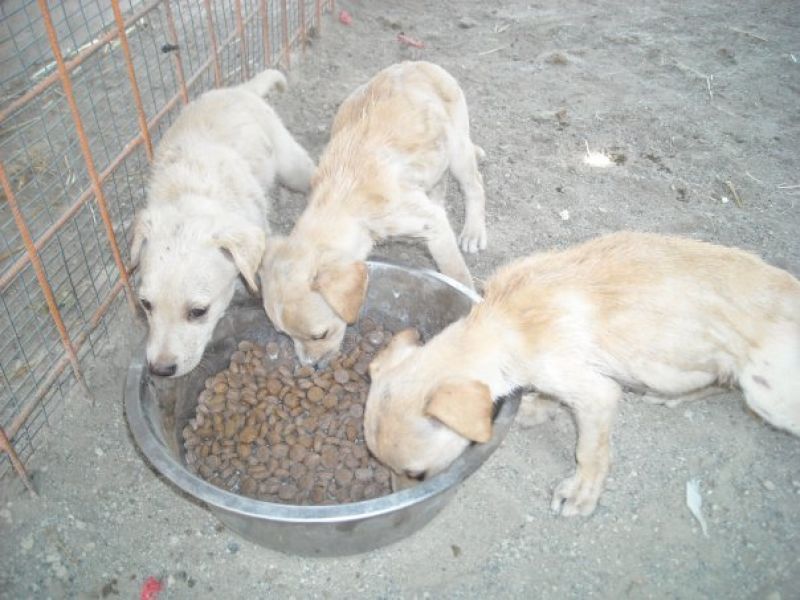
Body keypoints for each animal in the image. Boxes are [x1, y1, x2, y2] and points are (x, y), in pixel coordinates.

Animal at [132, 69, 316, 376]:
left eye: (198, 312)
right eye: (145, 304)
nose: (160, 370)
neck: (191, 195)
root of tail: (239, 90)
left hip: (290, 163)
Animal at [260, 59, 488, 366]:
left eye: (319, 335)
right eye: (283, 334)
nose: (310, 366)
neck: (343, 197)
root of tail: (419, 63)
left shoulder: (433, 226)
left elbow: (456, 271)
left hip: (458, 150)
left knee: (474, 185)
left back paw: (474, 231)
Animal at [364, 232, 800, 516]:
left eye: (417, 474)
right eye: (379, 462)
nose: (396, 497)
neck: (505, 323)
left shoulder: (597, 394)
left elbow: (590, 452)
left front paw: (581, 494)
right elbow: (549, 396)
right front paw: (536, 408)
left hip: (767, 394)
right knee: (718, 380)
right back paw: (672, 395)